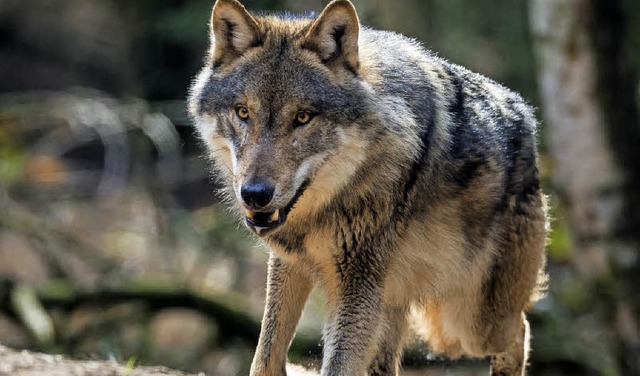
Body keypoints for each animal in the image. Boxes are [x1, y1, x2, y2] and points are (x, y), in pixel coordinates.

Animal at [188, 0, 548, 376]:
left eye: (303, 117)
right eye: (243, 112)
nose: (255, 194)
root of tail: (525, 114)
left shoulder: (356, 283)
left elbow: (335, 366)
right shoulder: (290, 264)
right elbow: (265, 356)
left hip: (467, 324)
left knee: (520, 330)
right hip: (396, 307)